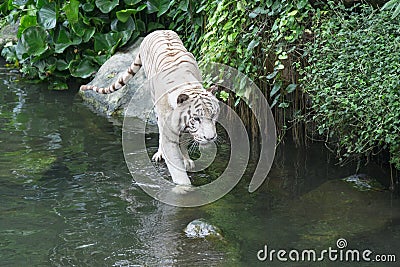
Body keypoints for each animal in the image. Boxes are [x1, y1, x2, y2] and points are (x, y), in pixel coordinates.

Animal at [80, 29, 220, 186]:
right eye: (196, 118)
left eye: (213, 116)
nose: (210, 138)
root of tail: (156, 31)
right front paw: (184, 187)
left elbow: (184, 141)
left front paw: (186, 161)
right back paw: (159, 154)